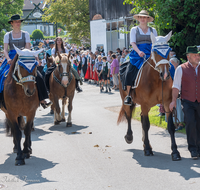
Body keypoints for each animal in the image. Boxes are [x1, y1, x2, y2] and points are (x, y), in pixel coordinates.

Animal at [117, 30, 181, 160]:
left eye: (169, 50)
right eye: (155, 51)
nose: (165, 74)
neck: (156, 80)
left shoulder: (167, 103)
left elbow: (171, 127)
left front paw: (175, 152)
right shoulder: (145, 104)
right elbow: (146, 125)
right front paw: (147, 149)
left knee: (140, 117)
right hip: (126, 100)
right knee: (128, 116)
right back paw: (130, 137)